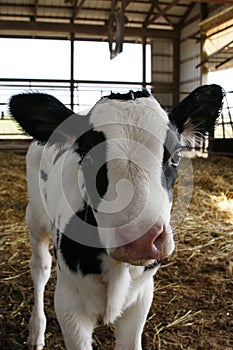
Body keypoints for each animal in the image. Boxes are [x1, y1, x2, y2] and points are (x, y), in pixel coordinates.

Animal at [10, 85, 223, 350]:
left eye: (175, 156)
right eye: (87, 156)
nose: (140, 240)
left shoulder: (142, 296)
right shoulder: (69, 302)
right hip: (35, 218)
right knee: (40, 267)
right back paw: (36, 330)